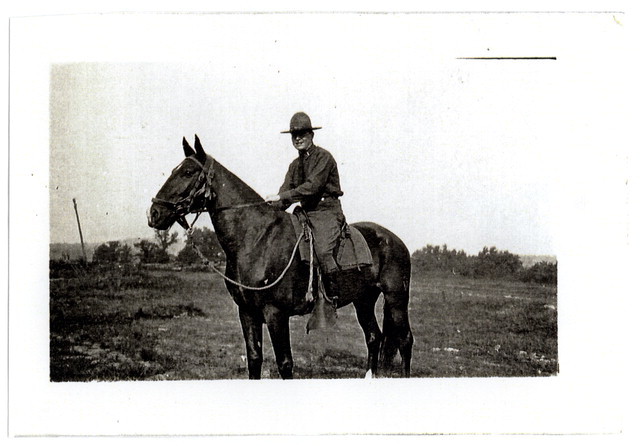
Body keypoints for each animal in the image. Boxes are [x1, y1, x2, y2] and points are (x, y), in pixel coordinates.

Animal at [148, 135, 413, 379]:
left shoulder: (275, 313)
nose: (154, 213)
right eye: (173, 171)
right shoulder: (247, 312)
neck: (256, 238)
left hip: (396, 299)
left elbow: (285, 363)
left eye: (188, 172)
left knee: (405, 340)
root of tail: (396, 240)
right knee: (374, 337)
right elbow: (254, 359)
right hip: (364, 299)